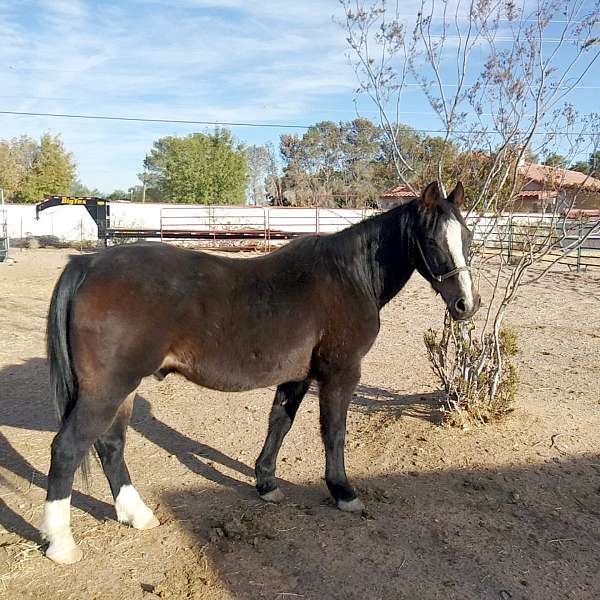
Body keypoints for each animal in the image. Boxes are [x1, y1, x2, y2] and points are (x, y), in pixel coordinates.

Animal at [39, 182, 478, 564]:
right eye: (434, 240)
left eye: (468, 236)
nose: (465, 305)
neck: (350, 277)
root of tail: (88, 263)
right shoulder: (340, 372)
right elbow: (333, 432)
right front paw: (343, 492)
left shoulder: (297, 375)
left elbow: (279, 423)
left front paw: (266, 484)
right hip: (108, 389)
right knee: (68, 448)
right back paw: (62, 545)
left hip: (122, 389)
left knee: (110, 444)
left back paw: (138, 515)